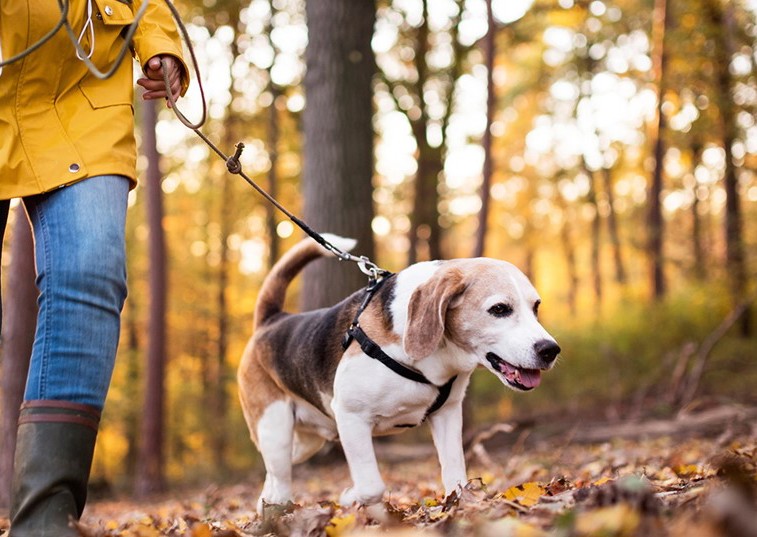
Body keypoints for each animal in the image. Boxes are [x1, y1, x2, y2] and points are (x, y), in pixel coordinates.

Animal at [238, 236, 560, 510]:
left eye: (536, 307)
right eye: (500, 309)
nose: (550, 350)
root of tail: (272, 320)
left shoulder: (448, 415)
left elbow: (456, 475)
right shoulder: (351, 417)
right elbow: (371, 486)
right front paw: (349, 497)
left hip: (306, 442)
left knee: (273, 474)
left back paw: (267, 508)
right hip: (275, 428)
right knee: (280, 476)